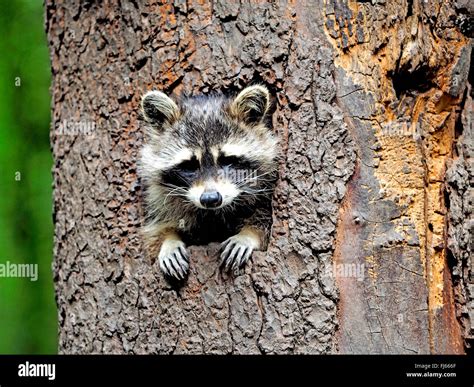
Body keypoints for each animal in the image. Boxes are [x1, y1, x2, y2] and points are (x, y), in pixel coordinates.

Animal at [137, 85, 278, 280]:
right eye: (189, 165)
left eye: (227, 160)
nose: (210, 199)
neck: (214, 214)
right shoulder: (159, 197)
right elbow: (157, 230)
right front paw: (168, 241)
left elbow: (264, 222)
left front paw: (247, 235)